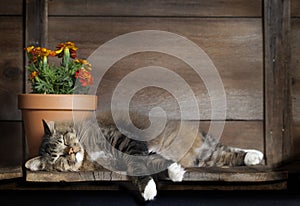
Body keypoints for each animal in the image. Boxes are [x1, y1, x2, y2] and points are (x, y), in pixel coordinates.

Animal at [24, 112, 264, 201]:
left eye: (65, 141)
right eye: (57, 157)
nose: (72, 152)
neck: (89, 153)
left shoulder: (128, 142)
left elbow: (144, 161)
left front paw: (171, 174)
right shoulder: (123, 159)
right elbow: (146, 165)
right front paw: (158, 182)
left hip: (207, 150)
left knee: (228, 150)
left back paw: (256, 154)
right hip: (208, 157)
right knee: (227, 155)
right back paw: (253, 157)